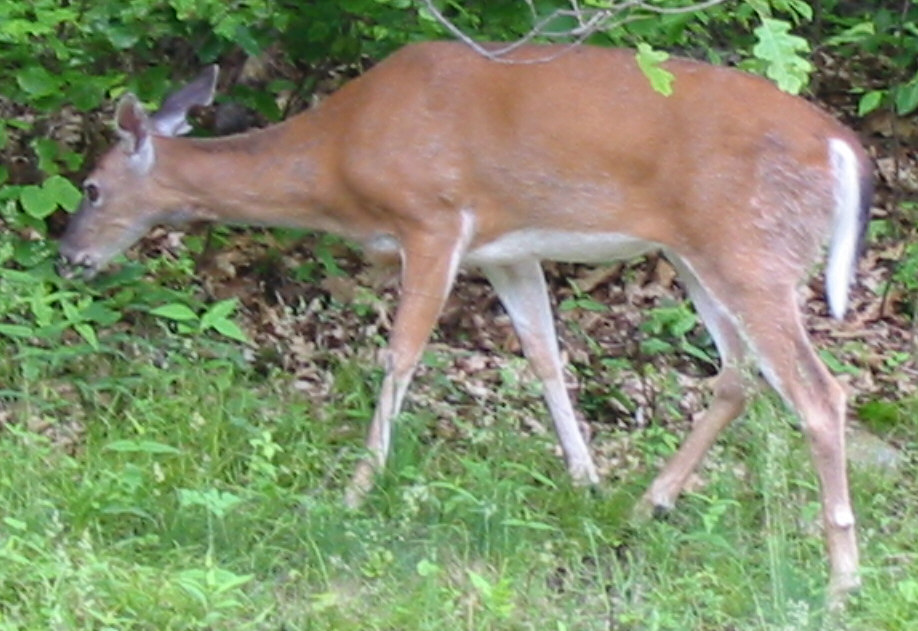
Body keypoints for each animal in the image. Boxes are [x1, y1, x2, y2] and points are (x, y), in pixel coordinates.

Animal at [58, 41, 872, 607]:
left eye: (92, 188)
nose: (68, 257)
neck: (338, 159)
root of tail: (843, 150)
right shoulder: (507, 250)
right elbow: (546, 357)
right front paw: (585, 480)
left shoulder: (432, 218)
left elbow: (401, 354)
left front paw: (354, 491)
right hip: (696, 252)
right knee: (738, 377)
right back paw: (648, 503)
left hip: (749, 248)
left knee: (818, 393)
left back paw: (840, 581)